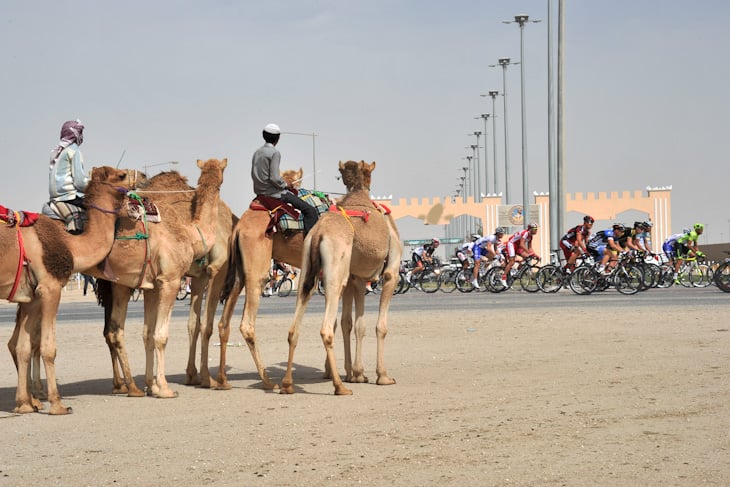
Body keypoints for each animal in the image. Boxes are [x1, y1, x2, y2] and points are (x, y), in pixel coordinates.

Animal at [2, 168, 131, 416]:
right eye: (121, 175)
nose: (143, 181)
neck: (70, 245)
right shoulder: (50, 288)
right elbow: (47, 347)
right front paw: (57, 404)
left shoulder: (31, 296)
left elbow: (23, 347)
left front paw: (24, 405)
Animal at [84, 158, 225, 398]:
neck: (193, 232)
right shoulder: (172, 280)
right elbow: (162, 335)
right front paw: (165, 388)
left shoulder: (151, 286)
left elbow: (147, 334)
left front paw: (152, 384)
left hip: (116, 285)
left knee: (113, 330)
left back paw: (129, 387)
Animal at [280, 160, 404, 396]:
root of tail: (319, 232)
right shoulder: (391, 271)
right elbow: (379, 326)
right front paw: (382, 376)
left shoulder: (356, 277)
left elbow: (353, 324)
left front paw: (357, 373)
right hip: (335, 272)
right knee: (326, 328)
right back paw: (339, 387)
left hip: (308, 273)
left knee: (294, 326)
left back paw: (287, 384)